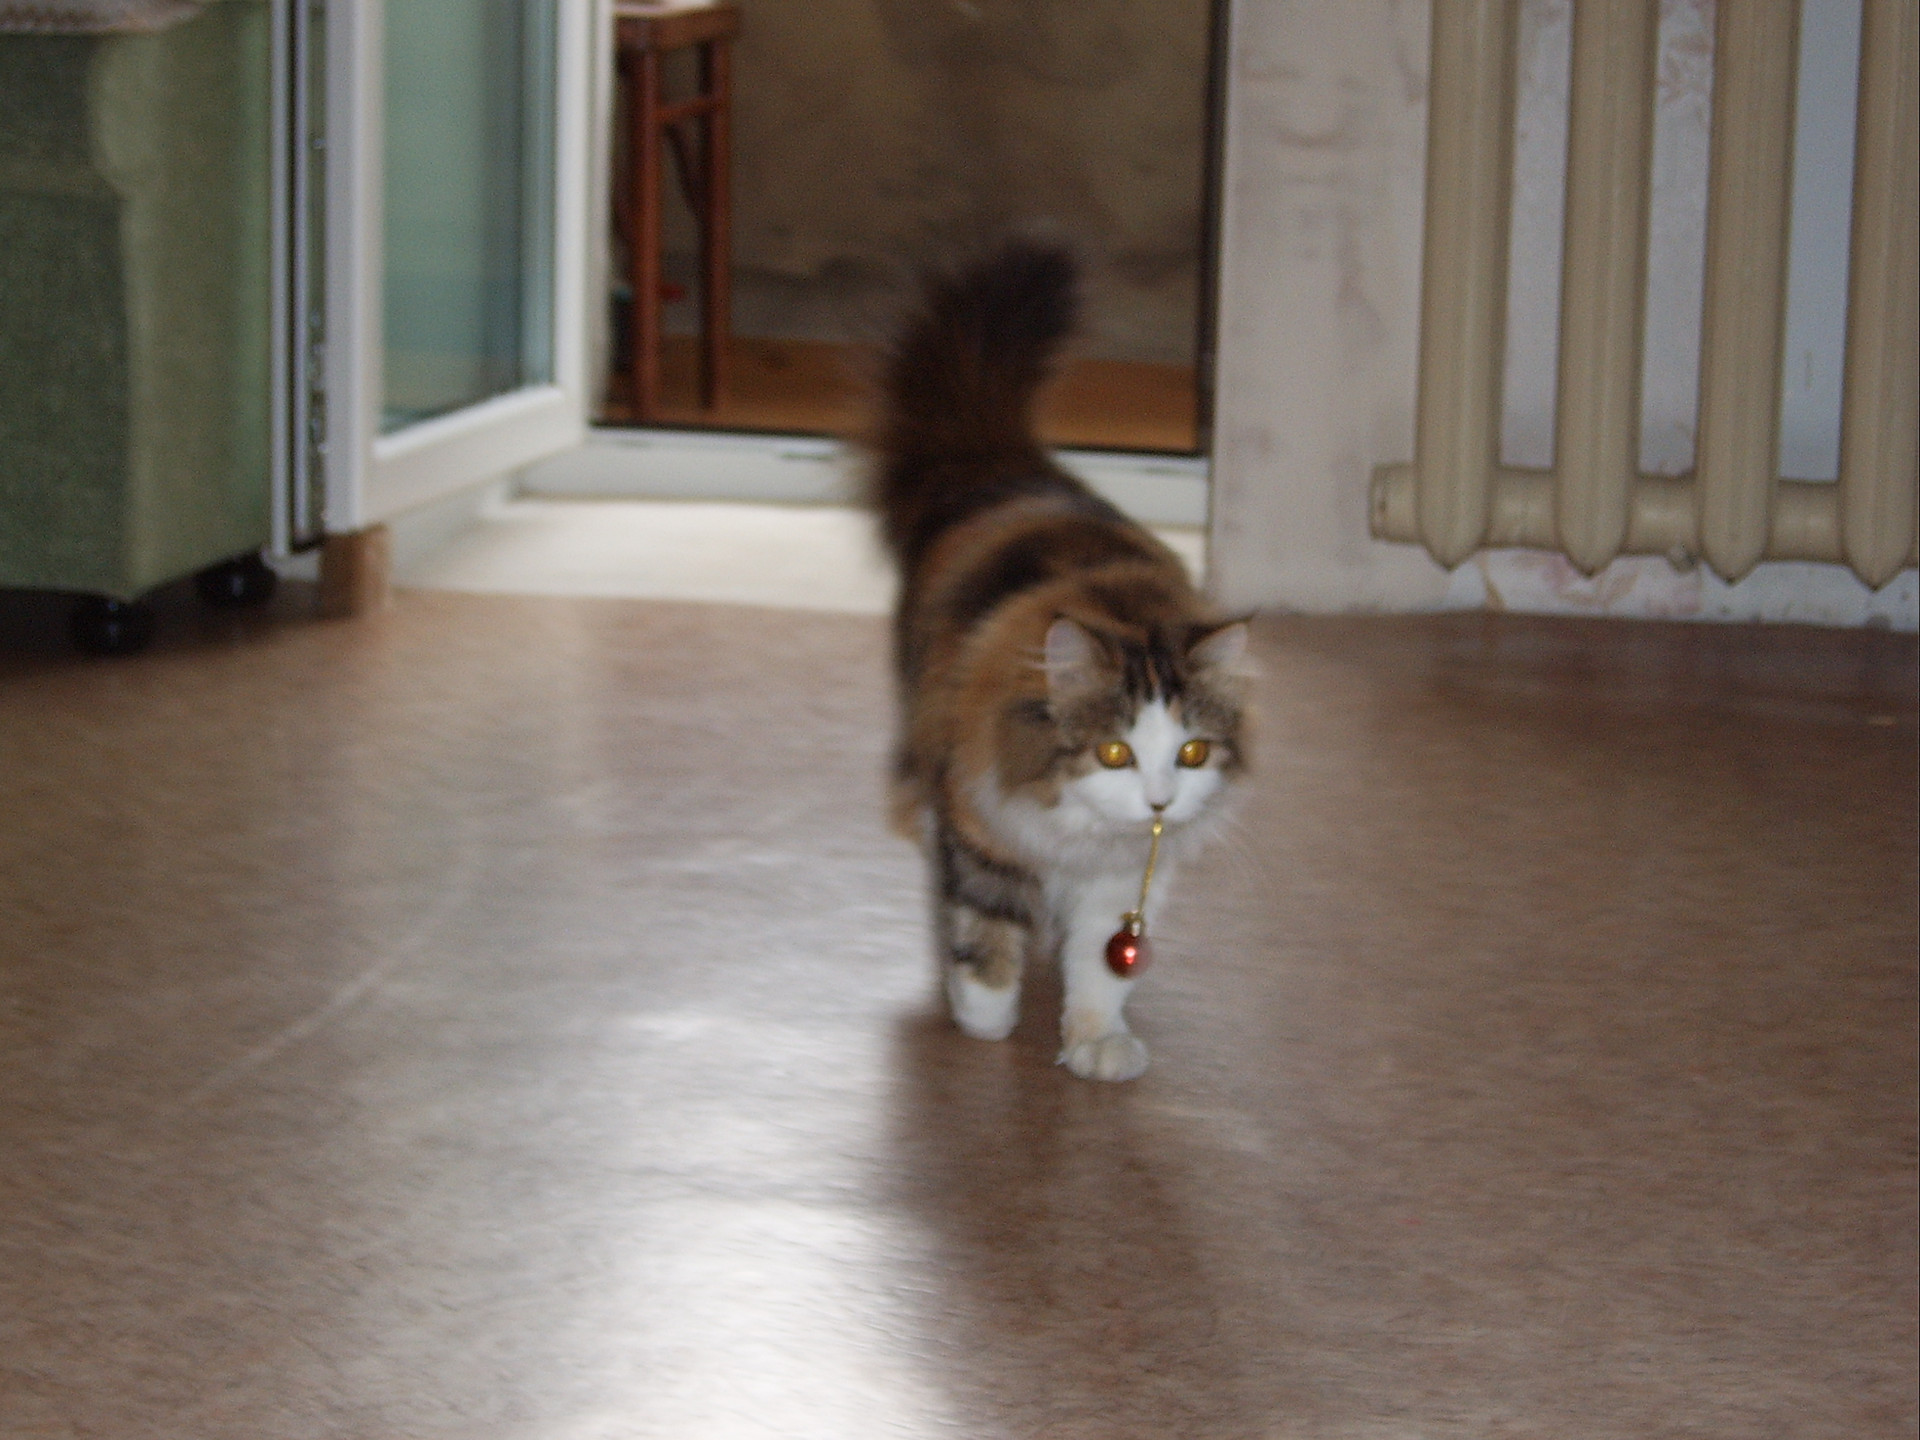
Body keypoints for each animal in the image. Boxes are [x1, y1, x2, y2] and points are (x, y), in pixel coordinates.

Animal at [869, 242, 1250, 1081]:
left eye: (1192, 753)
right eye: (1112, 752)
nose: (1159, 804)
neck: (1077, 832)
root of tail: (1007, 468)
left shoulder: (1122, 878)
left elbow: (1102, 965)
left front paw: (1095, 1042)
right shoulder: (980, 824)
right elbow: (983, 925)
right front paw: (983, 1015)